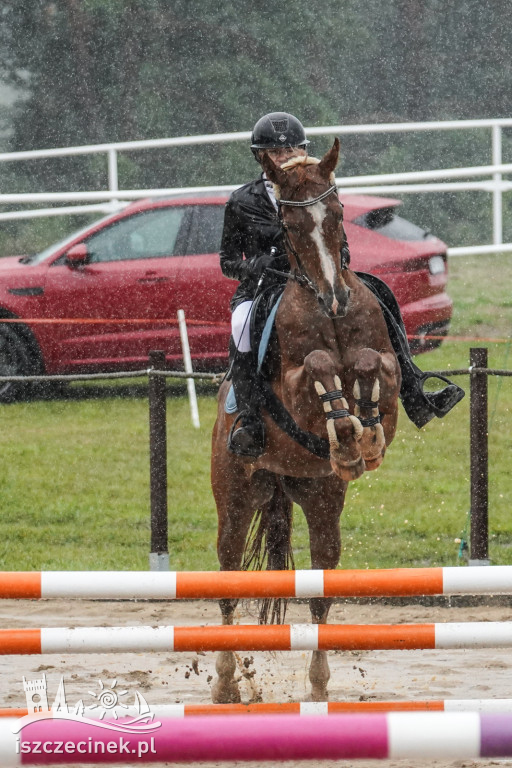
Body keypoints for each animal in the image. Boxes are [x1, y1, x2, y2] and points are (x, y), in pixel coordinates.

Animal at [210, 138, 402, 704]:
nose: (336, 300)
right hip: (234, 500)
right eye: (289, 228)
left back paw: (317, 689)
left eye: (337, 214)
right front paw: (345, 431)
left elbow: (370, 365)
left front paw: (364, 440)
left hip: (320, 502)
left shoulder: (388, 372)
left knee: (320, 592)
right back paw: (226, 682)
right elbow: (318, 367)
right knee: (227, 584)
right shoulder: (291, 392)